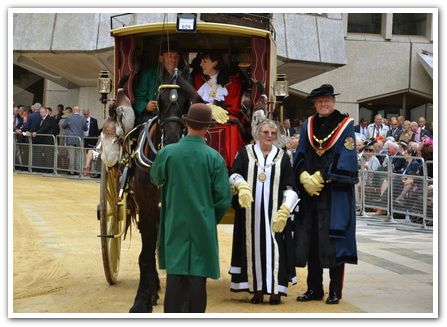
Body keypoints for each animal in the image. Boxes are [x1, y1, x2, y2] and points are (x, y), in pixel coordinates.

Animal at [130, 68, 200, 314]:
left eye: (188, 101)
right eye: (159, 101)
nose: (171, 139)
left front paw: (185, 302)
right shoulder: (147, 209)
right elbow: (145, 257)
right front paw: (142, 299)